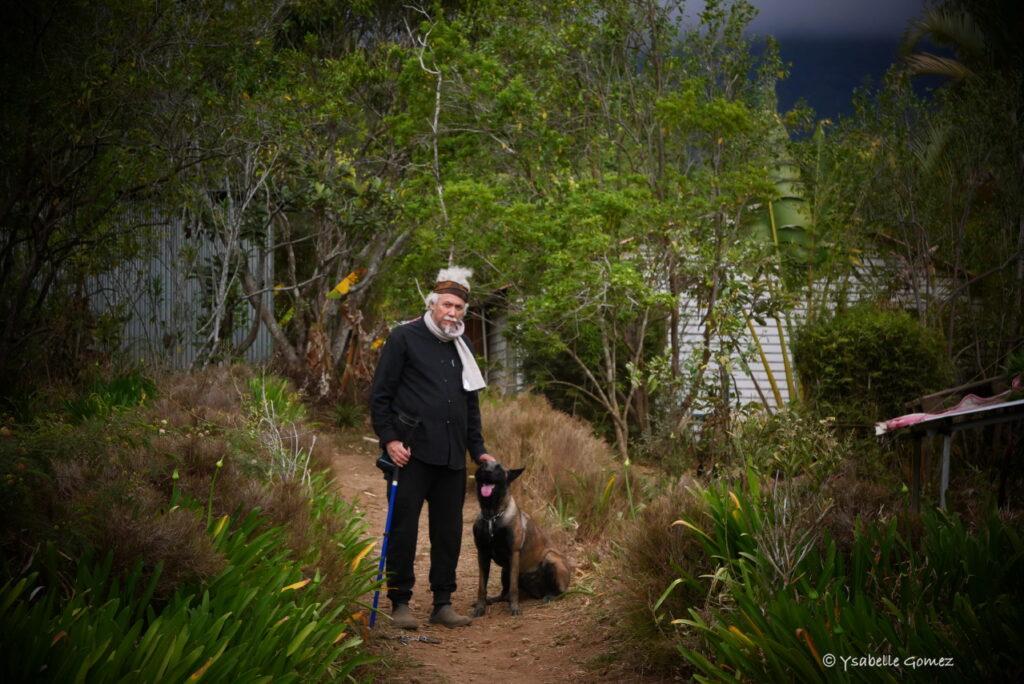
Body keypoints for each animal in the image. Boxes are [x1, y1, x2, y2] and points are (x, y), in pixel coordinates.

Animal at [468, 462, 569, 618]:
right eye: (483, 465)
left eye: (498, 468)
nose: (487, 471)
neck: (492, 516)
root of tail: (538, 593)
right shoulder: (482, 554)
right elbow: (482, 586)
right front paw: (480, 607)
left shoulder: (513, 554)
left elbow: (513, 588)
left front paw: (514, 608)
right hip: (505, 570)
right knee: (503, 594)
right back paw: (492, 600)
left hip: (551, 559)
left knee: (560, 592)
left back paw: (549, 596)